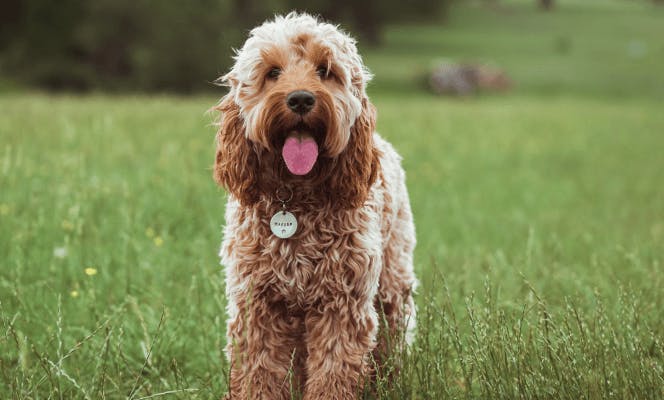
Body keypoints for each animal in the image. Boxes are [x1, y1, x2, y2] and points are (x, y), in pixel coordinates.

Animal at [214, 12, 416, 400]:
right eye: (273, 72)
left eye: (325, 70)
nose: (301, 99)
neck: (295, 198)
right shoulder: (257, 304)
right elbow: (258, 372)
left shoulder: (342, 305)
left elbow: (334, 373)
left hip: (392, 282)